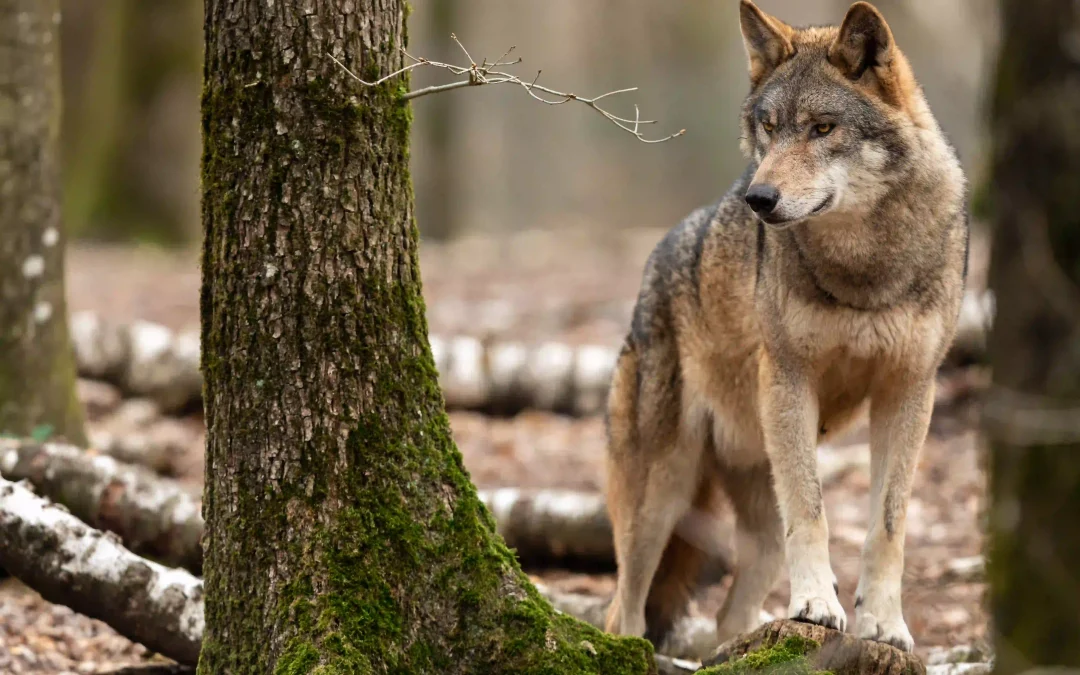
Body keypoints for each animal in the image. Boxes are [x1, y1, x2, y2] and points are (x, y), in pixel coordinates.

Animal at [602, 0, 968, 653]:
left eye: (822, 129)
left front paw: (884, 623)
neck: (864, 270)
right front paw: (818, 605)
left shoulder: (909, 391)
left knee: (729, 620)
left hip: (752, 518)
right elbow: (813, 513)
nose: (759, 198)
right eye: (769, 129)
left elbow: (888, 524)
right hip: (660, 499)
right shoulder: (790, 379)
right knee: (624, 613)